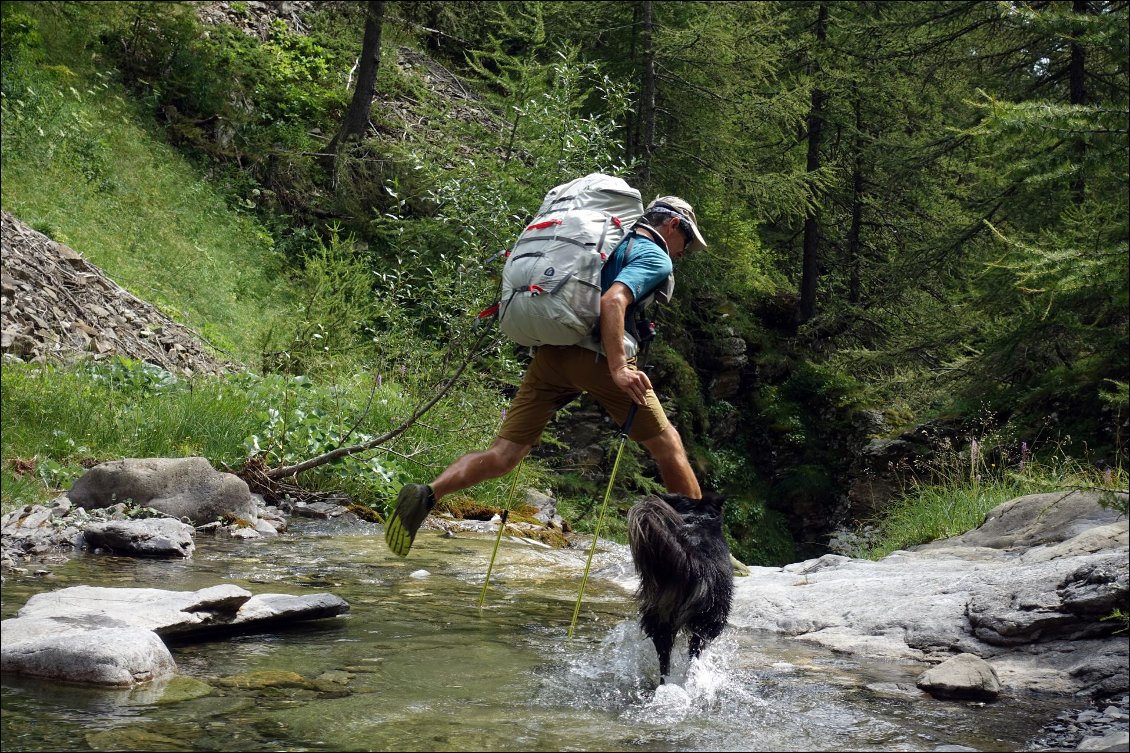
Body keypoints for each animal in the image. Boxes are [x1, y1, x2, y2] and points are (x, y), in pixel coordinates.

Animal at [628, 490, 732, 678]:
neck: (697, 517)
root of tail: (693, 562)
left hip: (660, 617)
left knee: (664, 663)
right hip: (710, 620)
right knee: (694, 656)